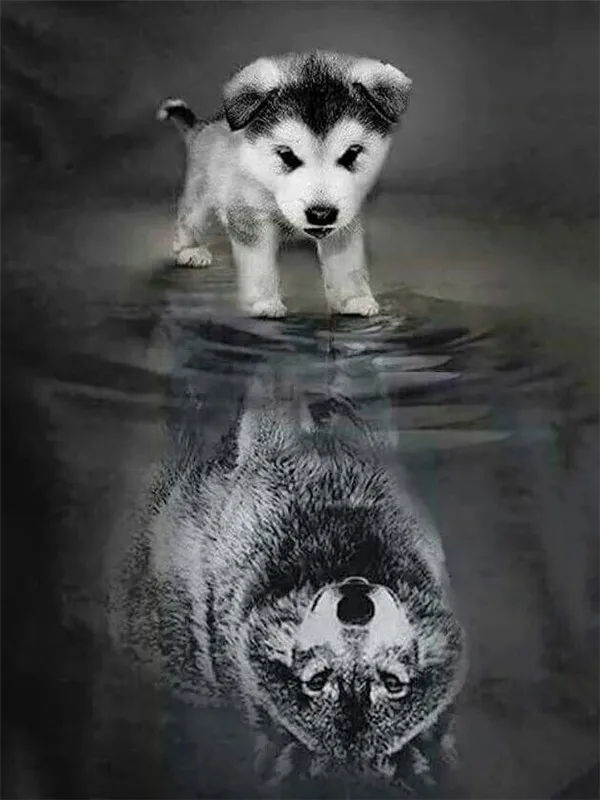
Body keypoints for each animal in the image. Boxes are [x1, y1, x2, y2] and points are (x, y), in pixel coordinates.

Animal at [157, 50, 413, 319]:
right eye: (287, 155)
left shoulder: (345, 216)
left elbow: (347, 261)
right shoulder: (250, 217)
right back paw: (189, 250)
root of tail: (204, 126)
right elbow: (258, 262)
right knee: (190, 218)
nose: (321, 214)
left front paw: (353, 299)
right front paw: (263, 302)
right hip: (202, 192)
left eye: (352, 153)